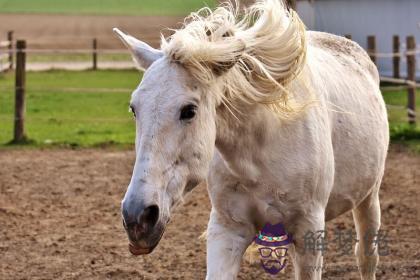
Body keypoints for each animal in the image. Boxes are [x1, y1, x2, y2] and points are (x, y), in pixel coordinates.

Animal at [114, 1, 388, 278]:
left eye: (189, 110)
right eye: (134, 108)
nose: (138, 217)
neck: (259, 153)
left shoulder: (309, 229)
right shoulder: (227, 229)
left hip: (368, 199)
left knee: (366, 256)